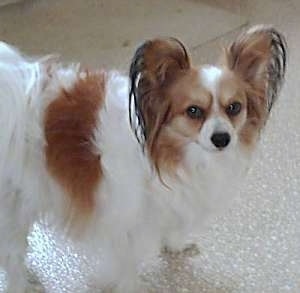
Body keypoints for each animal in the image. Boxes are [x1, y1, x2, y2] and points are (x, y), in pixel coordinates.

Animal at [0, 25, 286, 292]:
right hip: (14, 208)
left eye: (234, 107)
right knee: (12, 253)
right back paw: (21, 284)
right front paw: (131, 287)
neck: (165, 151)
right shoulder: (125, 220)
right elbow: (126, 263)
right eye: (193, 111)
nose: (222, 138)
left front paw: (175, 245)